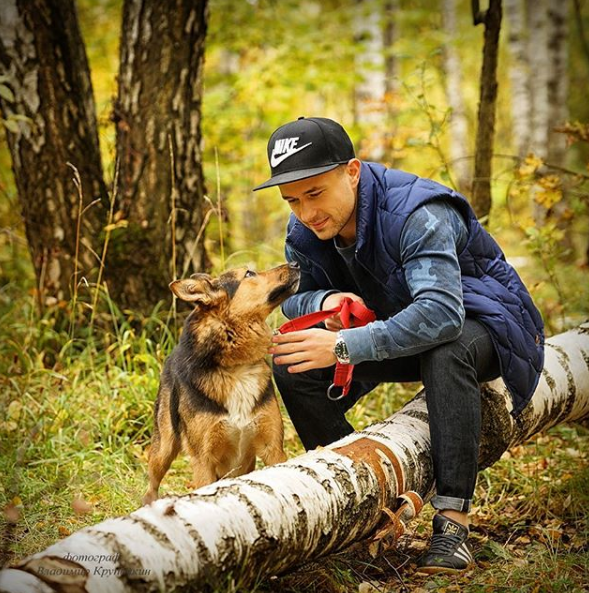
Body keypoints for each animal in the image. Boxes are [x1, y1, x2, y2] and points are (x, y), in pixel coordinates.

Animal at [142, 262, 298, 502]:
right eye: (249, 273)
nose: (296, 264)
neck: (235, 368)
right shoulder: (203, 461)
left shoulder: (273, 449)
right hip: (164, 448)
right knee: (151, 485)